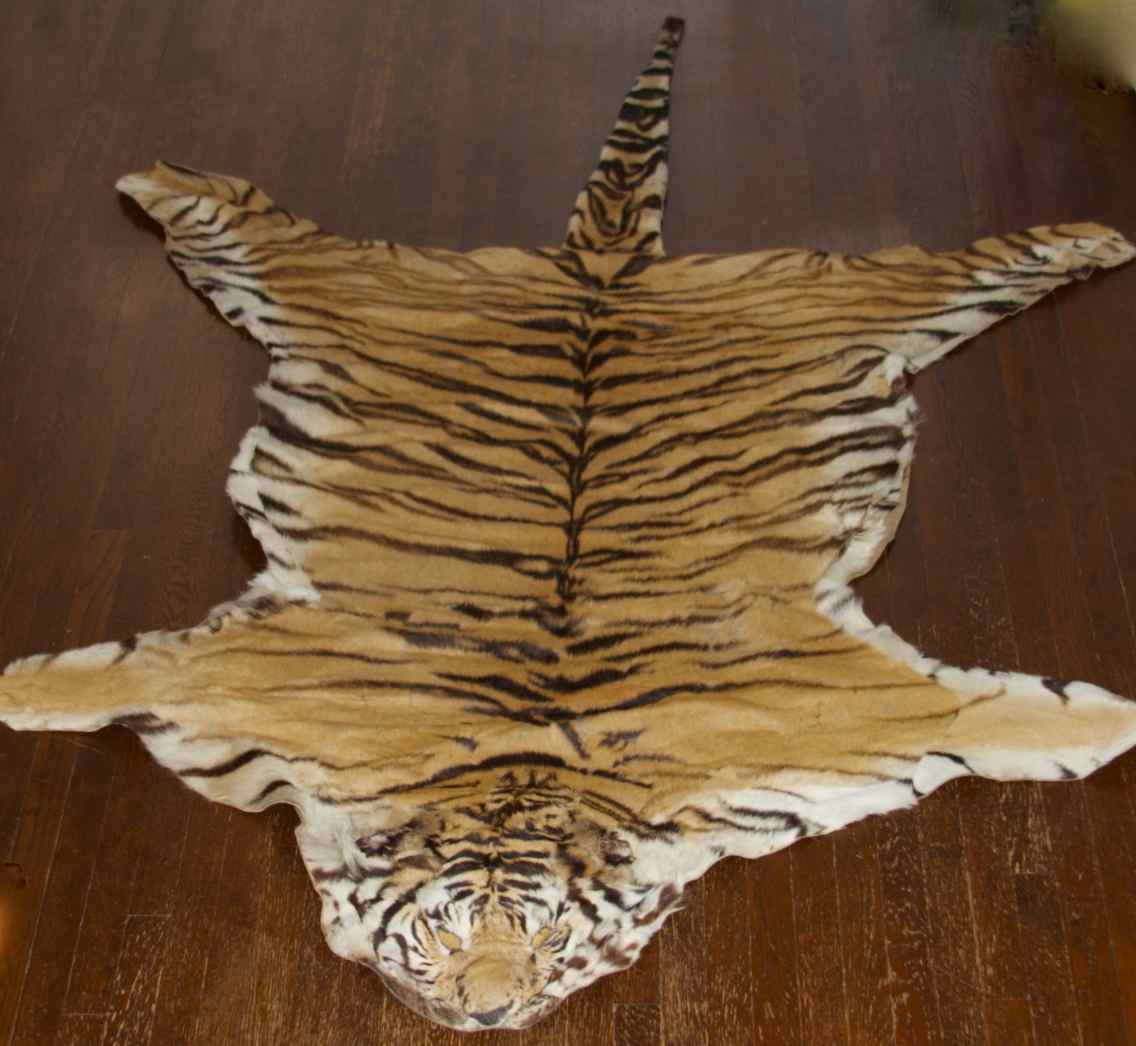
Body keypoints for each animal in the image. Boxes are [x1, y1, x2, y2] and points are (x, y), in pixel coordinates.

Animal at [2, 15, 1135, 1033]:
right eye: (442, 934)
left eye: (550, 939)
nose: (489, 1011)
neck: (523, 763)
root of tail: (605, 266)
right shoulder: (229, 691)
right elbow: (107, 672)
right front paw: (19, 685)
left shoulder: (850, 723)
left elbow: (997, 715)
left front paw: (1107, 717)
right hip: (346, 292)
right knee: (259, 224)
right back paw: (161, 181)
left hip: (849, 302)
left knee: (957, 261)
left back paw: (1093, 235)